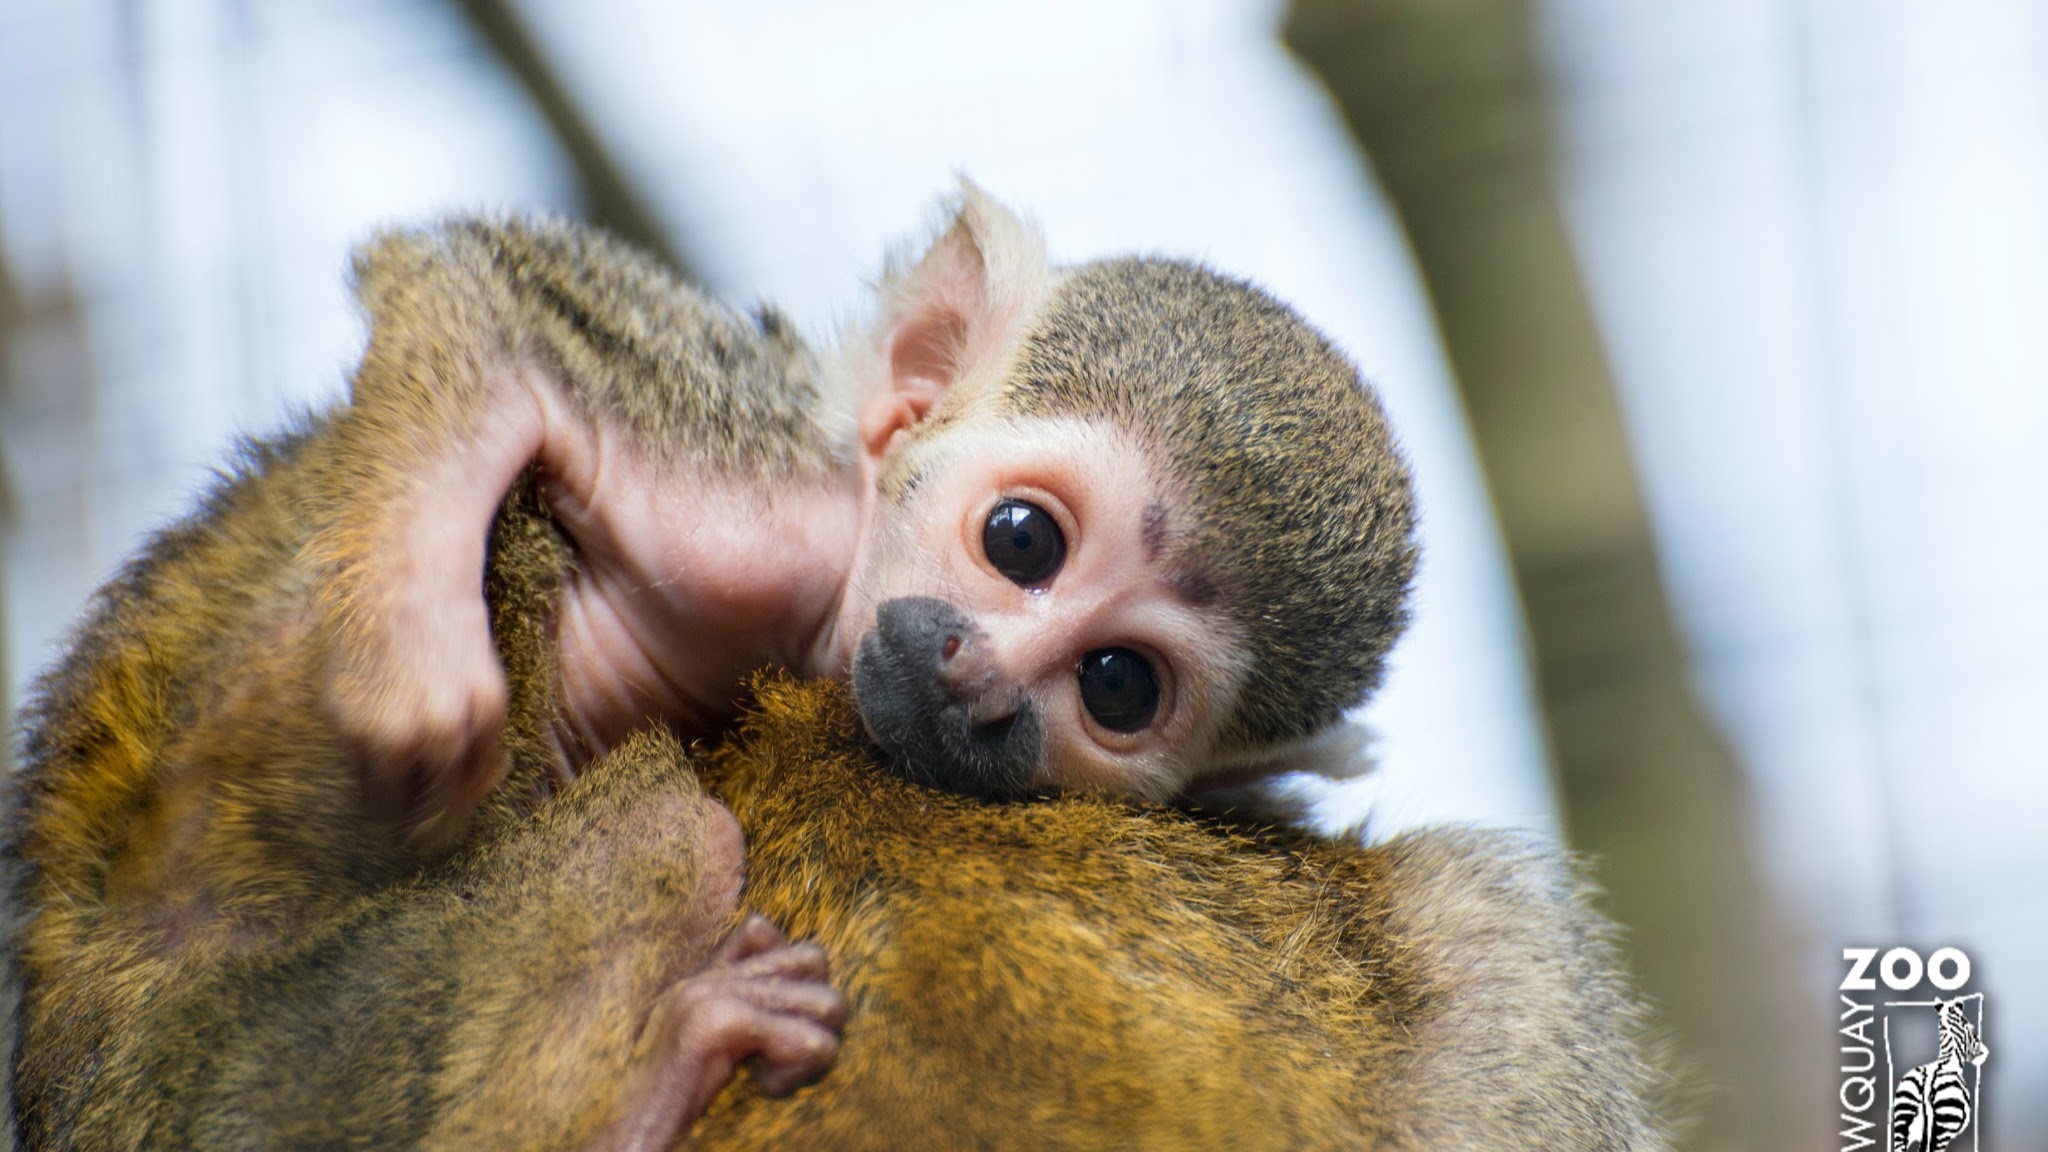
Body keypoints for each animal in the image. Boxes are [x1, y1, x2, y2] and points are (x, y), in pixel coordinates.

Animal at [319, 183, 1417, 828]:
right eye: (1021, 541)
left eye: (1117, 685)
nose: (984, 678)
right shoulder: (748, 525)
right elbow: (485, 300)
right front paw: (406, 660)